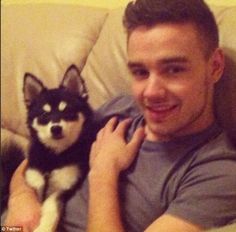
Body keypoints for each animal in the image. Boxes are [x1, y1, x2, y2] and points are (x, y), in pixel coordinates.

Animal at [21, 65, 94, 232]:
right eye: (44, 114)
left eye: (67, 111)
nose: (56, 128)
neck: (54, 156)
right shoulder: (34, 180)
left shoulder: (63, 187)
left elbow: (51, 206)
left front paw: (44, 227)